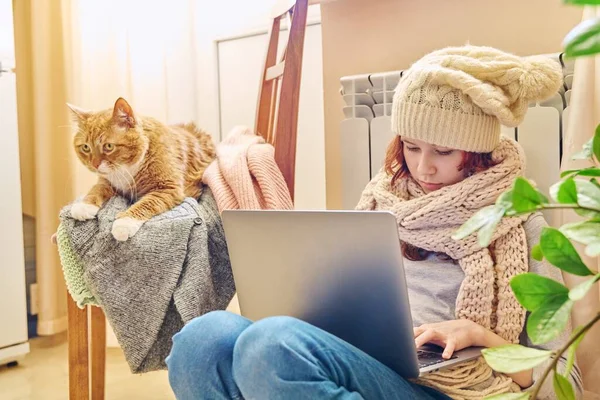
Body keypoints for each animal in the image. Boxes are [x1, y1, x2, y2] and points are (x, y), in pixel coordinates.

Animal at [68, 97, 216, 241]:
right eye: (86, 147)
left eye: (108, 146)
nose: (94, 164)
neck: (127, 168)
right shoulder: (107, 182)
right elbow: (96, 189)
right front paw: (84, 205)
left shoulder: (167, 188)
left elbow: (145, 203)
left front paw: (124, 223)